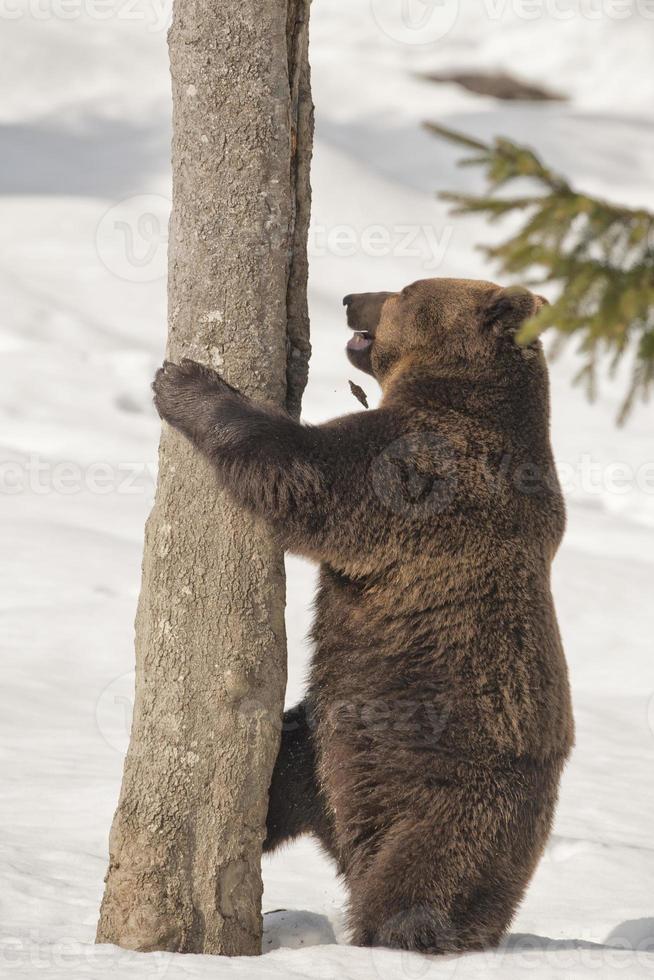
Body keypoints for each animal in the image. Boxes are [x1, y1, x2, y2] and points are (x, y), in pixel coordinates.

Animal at [152, 278, 576, 956]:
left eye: (403, 290)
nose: (352, 297)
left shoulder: (421, 470)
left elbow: (304, 472)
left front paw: (185, 383)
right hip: (326, 746)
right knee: (281, 781)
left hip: (454, 795)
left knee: (420, 882)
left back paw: (398, 934)